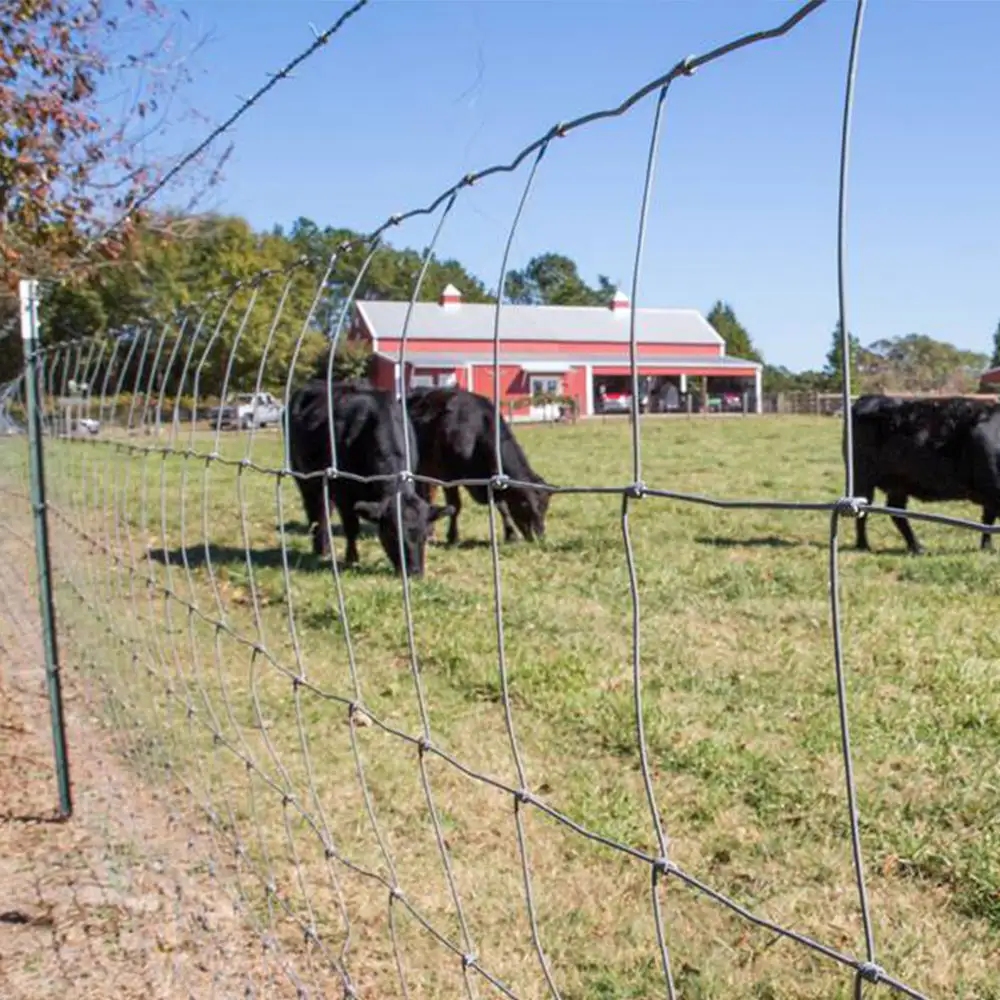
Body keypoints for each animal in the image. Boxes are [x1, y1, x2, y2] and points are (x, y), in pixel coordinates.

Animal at [286, 378, 450, 576]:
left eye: (425, 535)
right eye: (393, 534)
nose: (414, 572)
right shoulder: (343, 492)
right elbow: (351, 527)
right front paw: (352, 560)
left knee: (325, 509)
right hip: (303, 476)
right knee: (316, 511)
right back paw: (321, 549)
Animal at [402, 388, 552, 548]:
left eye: (545, 507)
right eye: (525, 505)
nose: (539, 536)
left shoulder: (492, 478)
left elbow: (502, 506)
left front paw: (511, 534)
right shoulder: (449, 475)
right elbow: (455, 505)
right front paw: (453, 538)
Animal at [848, 394, 1000, 556]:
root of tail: (869, 398)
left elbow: (988, 519)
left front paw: (987, 547)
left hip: (898, 483)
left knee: (896, 511)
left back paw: (916, 547)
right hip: (863, 478)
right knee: (863, 510)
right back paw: (864, 545)